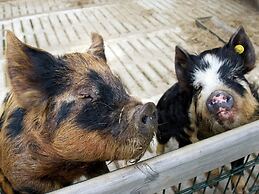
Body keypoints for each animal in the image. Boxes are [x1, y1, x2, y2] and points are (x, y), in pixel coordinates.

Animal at [155, 26, 258, 194]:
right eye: (198, 87)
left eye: (234, 76)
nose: (217, 95)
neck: (221, 132)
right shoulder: (191, 136)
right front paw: (212, 183)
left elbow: (238, 165)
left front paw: (243, 190)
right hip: (162, 127)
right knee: (161, 141)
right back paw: (159, 154)